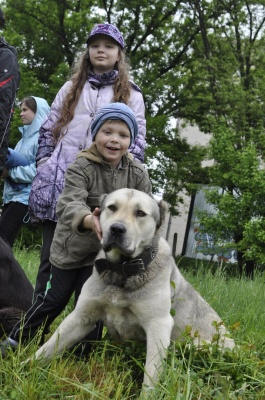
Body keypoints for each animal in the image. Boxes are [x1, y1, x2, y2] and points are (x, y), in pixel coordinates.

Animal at [34, 189, 234, 390]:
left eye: (140, 213)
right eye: (112, 207)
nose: (116, 229)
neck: (121, 270)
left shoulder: (158, 325)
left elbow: (150, 375)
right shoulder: (82, 317)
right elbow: (48, 347)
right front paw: (27, 368)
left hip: (197, 347)